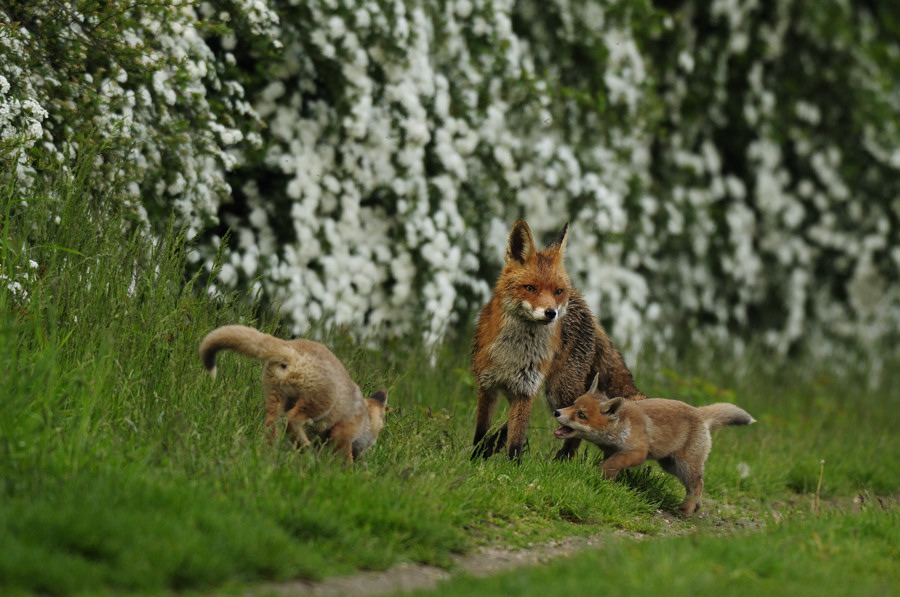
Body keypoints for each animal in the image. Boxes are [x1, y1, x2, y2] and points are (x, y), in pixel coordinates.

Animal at [472, 220, 648, 460]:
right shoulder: (487, 385)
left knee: (577, 427)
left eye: (557, 291)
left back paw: (561, 460)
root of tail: (583, 303)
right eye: (530, 288)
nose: (551, 313)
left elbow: (516, 440)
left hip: (559, 390)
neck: (514, 353)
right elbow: (481, 431)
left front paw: (512, 466)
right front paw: (474, 457)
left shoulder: (526, 390)